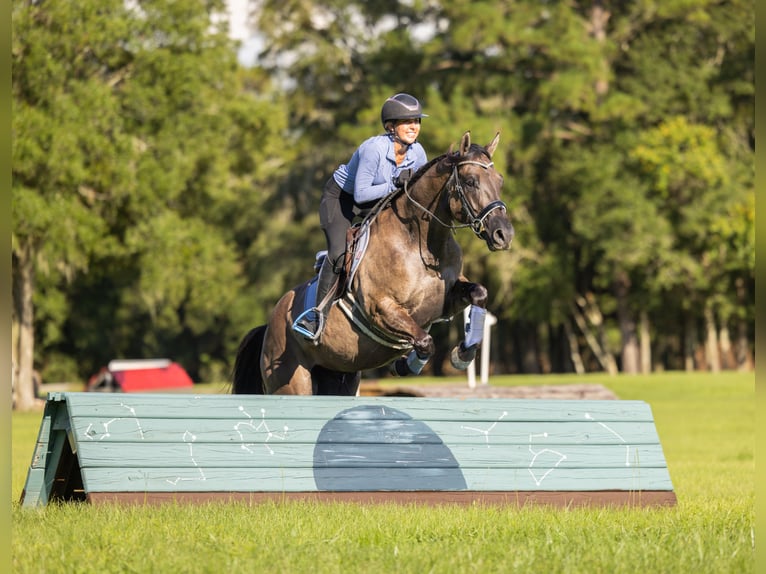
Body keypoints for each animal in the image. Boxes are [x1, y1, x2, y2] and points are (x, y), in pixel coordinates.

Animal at [233, 131, 514, 395]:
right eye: (470, 182)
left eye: (499, 180)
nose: (504, 234)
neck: (421, 245)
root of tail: (269, 325)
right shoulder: (381, 308)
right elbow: (425, 341)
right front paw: (404, 365)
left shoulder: (447, 300)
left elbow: (479, 293)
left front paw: (462, 354)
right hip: (292, 382)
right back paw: (309, 324)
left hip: (338, 377)